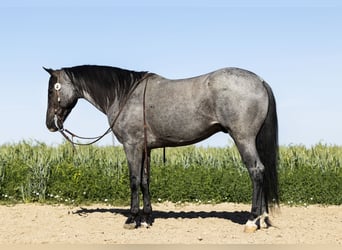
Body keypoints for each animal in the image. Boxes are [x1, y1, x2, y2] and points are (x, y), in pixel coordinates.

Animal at [44, 65, 278, 232]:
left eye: (51, 90)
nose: (49, 124)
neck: (124, 95)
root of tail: (259, 81)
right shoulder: (146, 148)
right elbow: (145, 181)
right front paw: (147, 219)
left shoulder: (132, 146)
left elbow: (134, 181)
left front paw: (132, 219)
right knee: (262, 171)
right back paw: (263, 219)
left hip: (243, 138)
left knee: (256, 171)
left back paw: (252, 220)